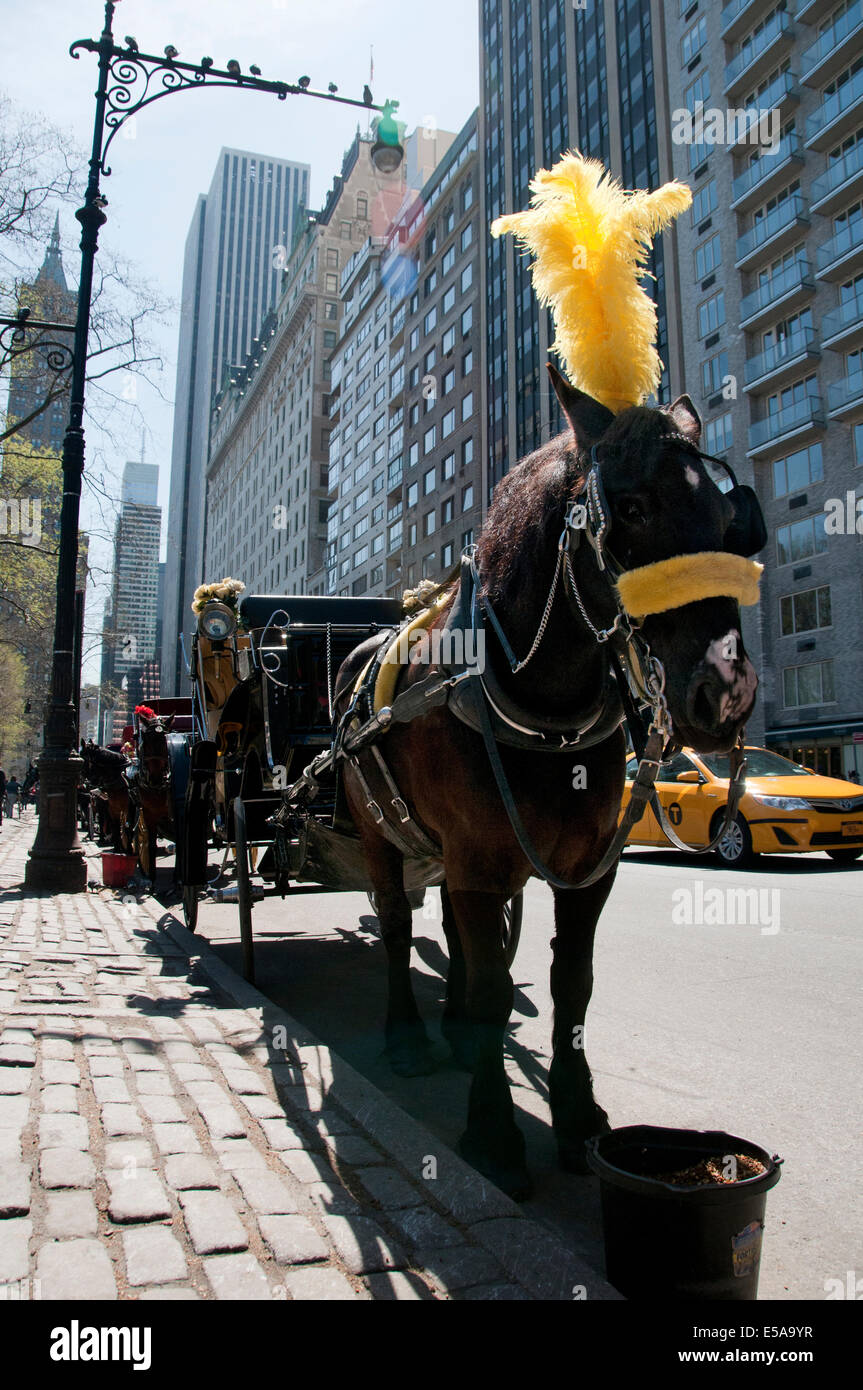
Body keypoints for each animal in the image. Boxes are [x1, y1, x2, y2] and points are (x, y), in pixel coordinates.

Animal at [333, 375, 755, 1200]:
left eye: (730, 520)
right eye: (632, 508)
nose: (725, 691)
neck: (540, 697)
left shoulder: (584, 870)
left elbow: (570, 984)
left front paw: (576, 1112)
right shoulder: (475, 861)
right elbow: (496, 989)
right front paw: (493, 1133)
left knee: (458, 935)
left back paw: (457, 1033)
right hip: (377, 835)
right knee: (397, 927)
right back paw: (408, 1037)